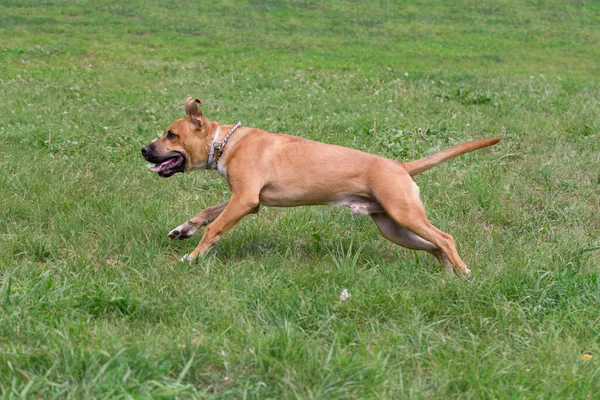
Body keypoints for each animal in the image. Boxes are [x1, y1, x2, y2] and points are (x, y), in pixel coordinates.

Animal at [144, 98, 502, 276]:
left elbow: (214, 228)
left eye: (171, 135)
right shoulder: (248, 200)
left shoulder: (244, 200)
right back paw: (447, 272)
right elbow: (207, 212)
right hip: (394, 228)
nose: (144, 150)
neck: (226, 142)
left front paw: (192, 257)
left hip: (405, 214)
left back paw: (464, 273)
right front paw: (183, 229)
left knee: (446, 238)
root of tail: (399, 166)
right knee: (435, 245)